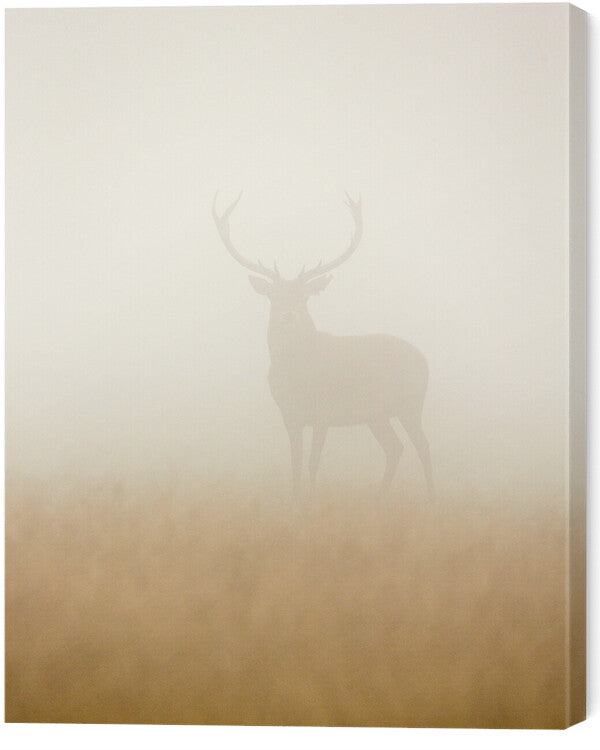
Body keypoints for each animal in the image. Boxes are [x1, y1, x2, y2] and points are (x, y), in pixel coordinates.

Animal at [212, 191, 433, 501]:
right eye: (274, 296)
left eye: (304, 297)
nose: (289, 315)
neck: (296, 376)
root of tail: (424, 359)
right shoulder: (289, 414)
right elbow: (295, 462)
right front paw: (294, 500)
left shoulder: (324, 412)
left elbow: (313, 462)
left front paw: (311, 502)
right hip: (376, 414)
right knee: (395, 448)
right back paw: (379, 498)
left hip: (411, 402)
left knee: (422, 446)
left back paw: (431, 498)